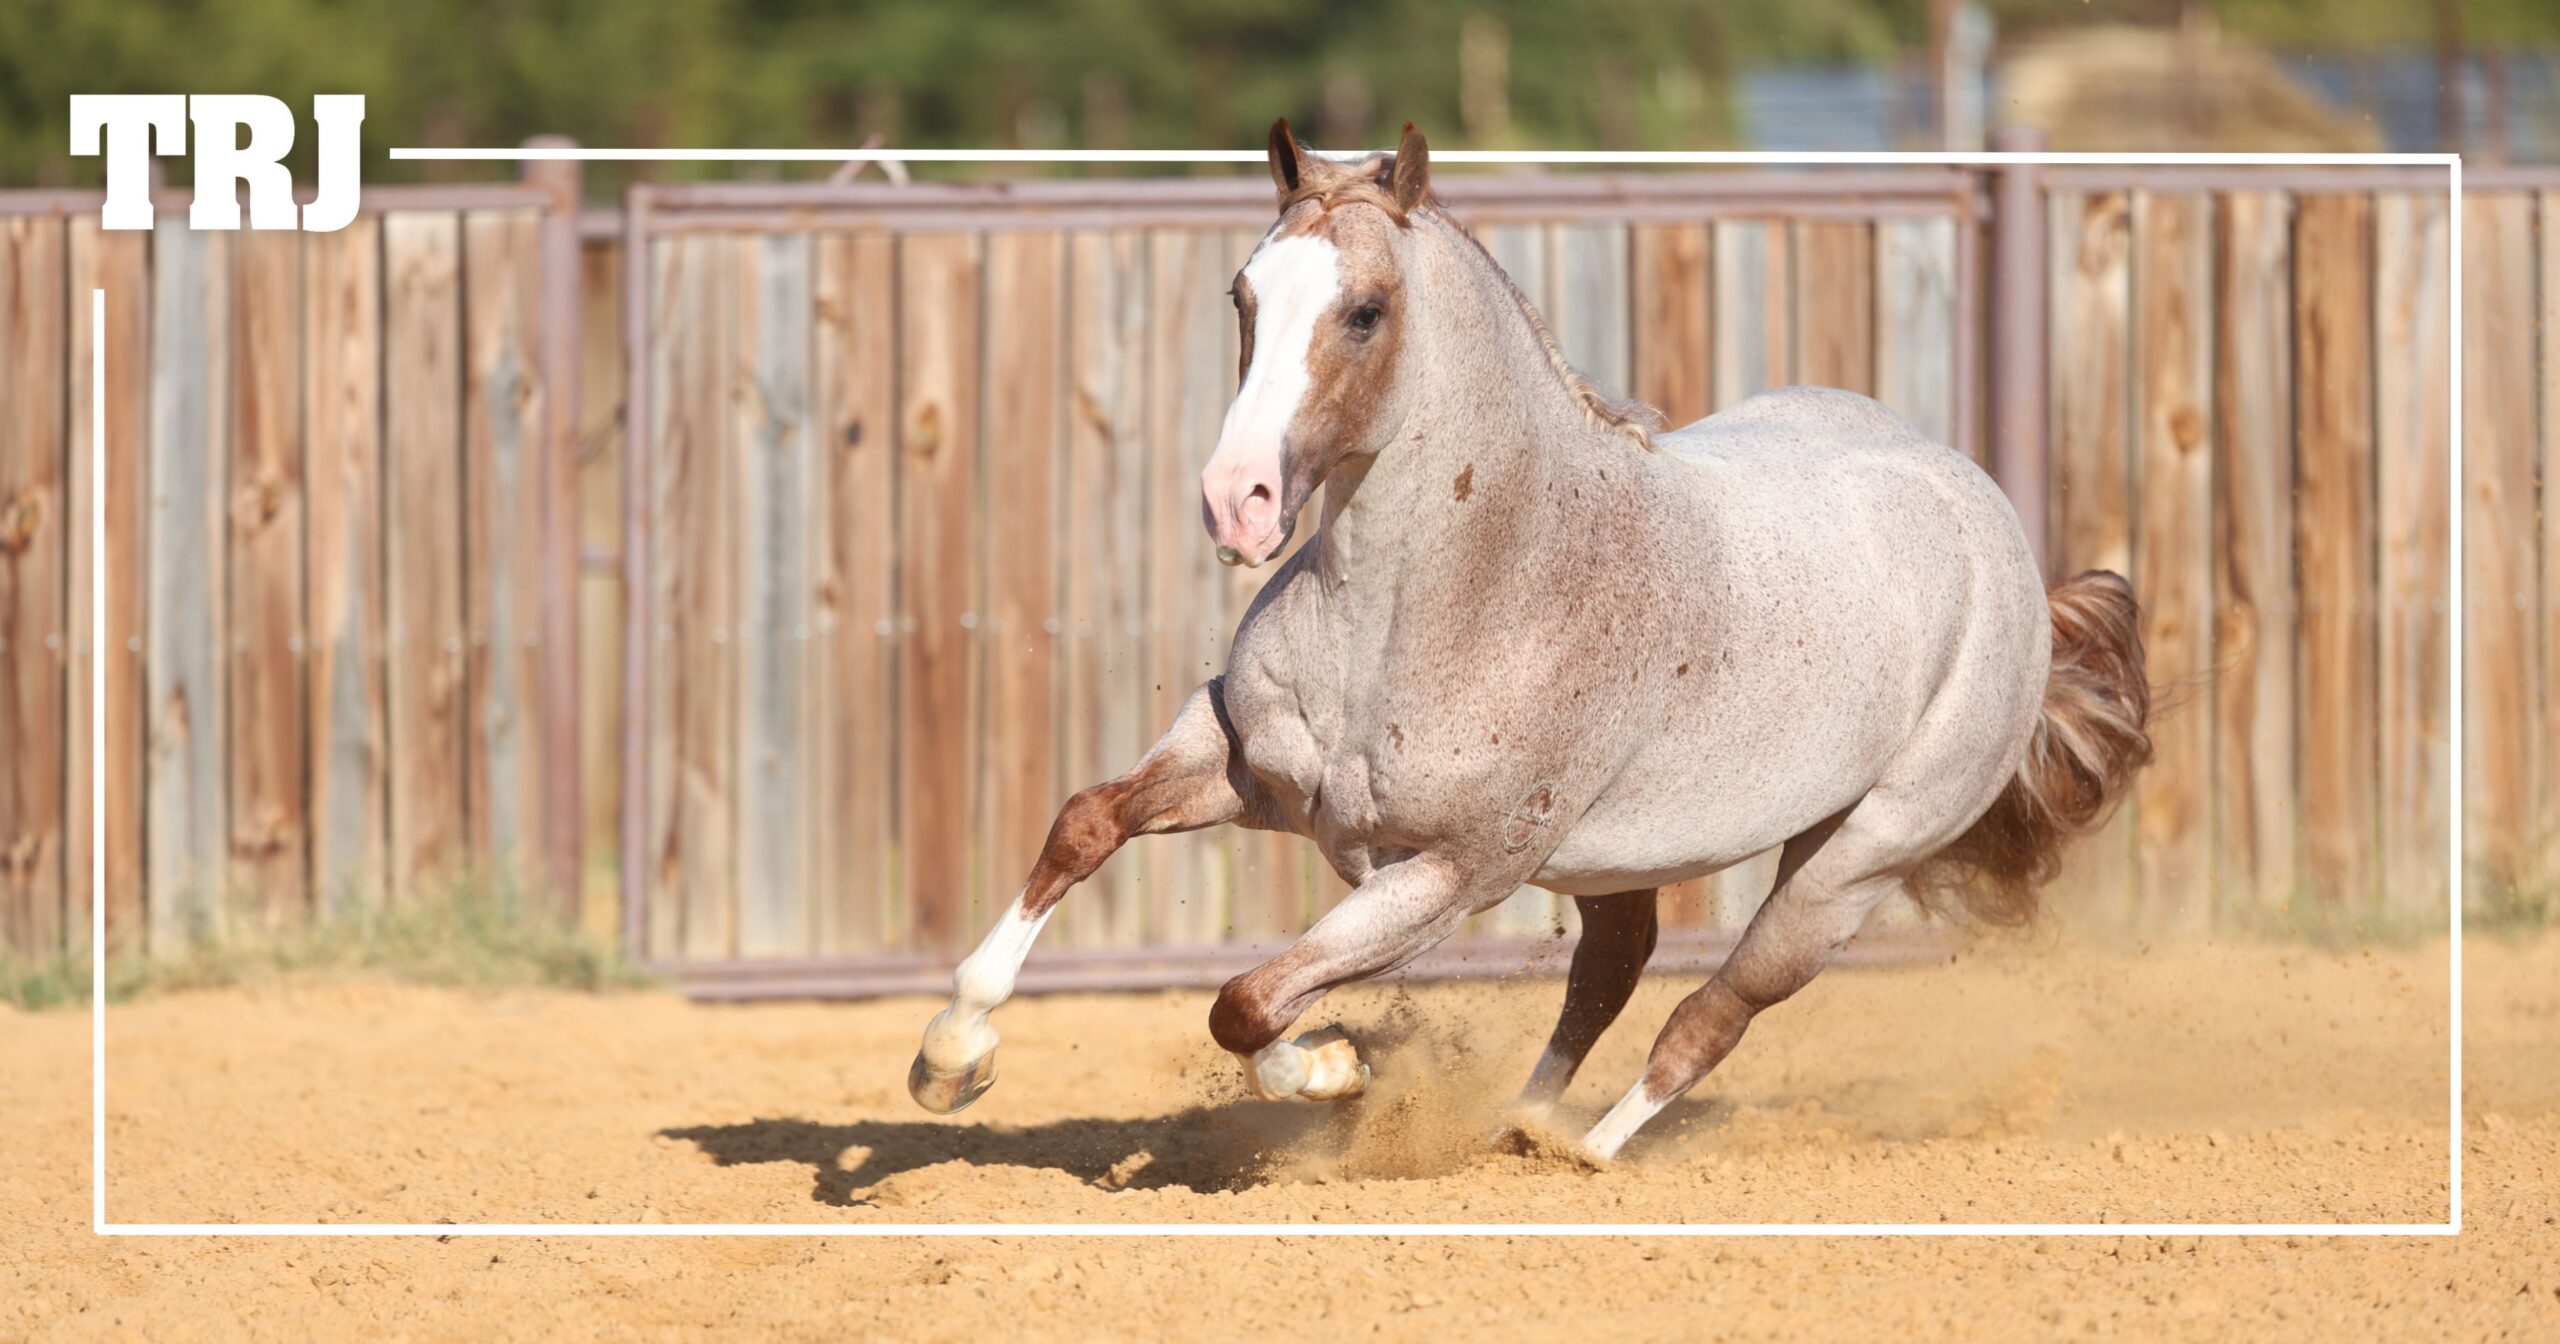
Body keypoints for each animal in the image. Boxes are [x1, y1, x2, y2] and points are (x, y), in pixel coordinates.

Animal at [909, 121, 2152, 1161]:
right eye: (1242, 293)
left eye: (1366, 310)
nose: (1237, 502)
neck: (1463, 596)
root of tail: (1995, 536)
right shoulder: (1247, 765)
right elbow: (1087, 827)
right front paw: (950, 1055)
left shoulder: (1448, 875)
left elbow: (1249, 1003)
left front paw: (1338, 1070)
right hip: (1621, 861)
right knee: (1611, 971)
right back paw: (1518, 1122)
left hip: (1857, 860)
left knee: (1711, 1014)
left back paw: (1581, 1153)